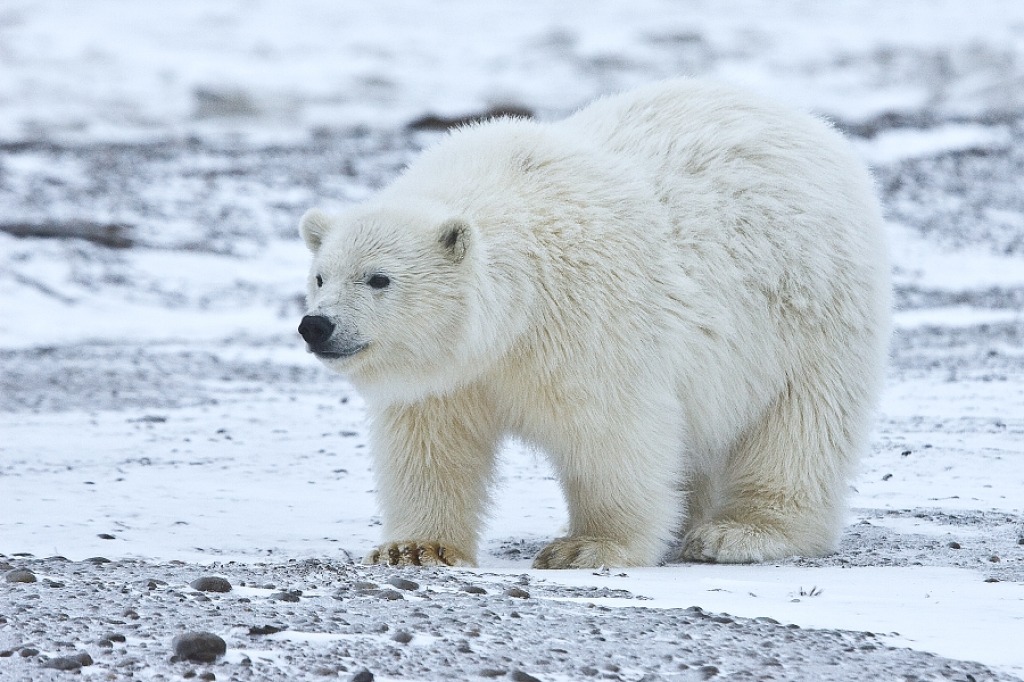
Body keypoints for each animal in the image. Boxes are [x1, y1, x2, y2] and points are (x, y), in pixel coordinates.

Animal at [294, 78, 888, 569]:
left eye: (378, 279)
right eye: (321, 276)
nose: (316, 326)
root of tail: (807, 123)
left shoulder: (590, 319)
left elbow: (613, 432)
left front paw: (588, 545)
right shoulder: (448, 375)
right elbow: (430, 444)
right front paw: (415, 548)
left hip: (808, 308)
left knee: (800, 425)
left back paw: (739, 533)